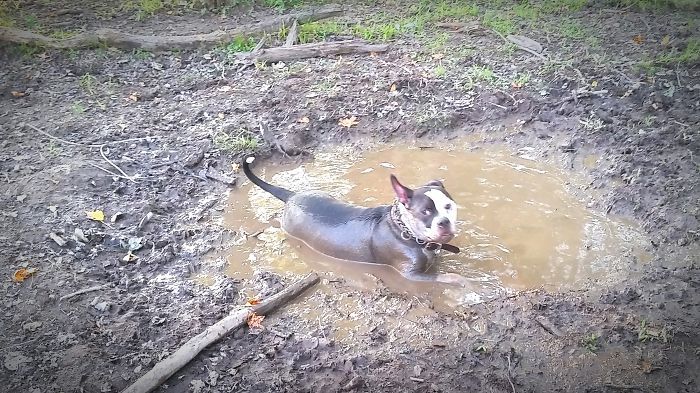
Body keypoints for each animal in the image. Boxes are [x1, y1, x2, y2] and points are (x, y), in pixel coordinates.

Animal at [243, 155, 468, 286]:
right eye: (425, 211)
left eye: (448, 206)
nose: (444, 222)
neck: (407, 232)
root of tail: (292, 196)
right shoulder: (409, 274)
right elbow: (448, 277)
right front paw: (464, 282)